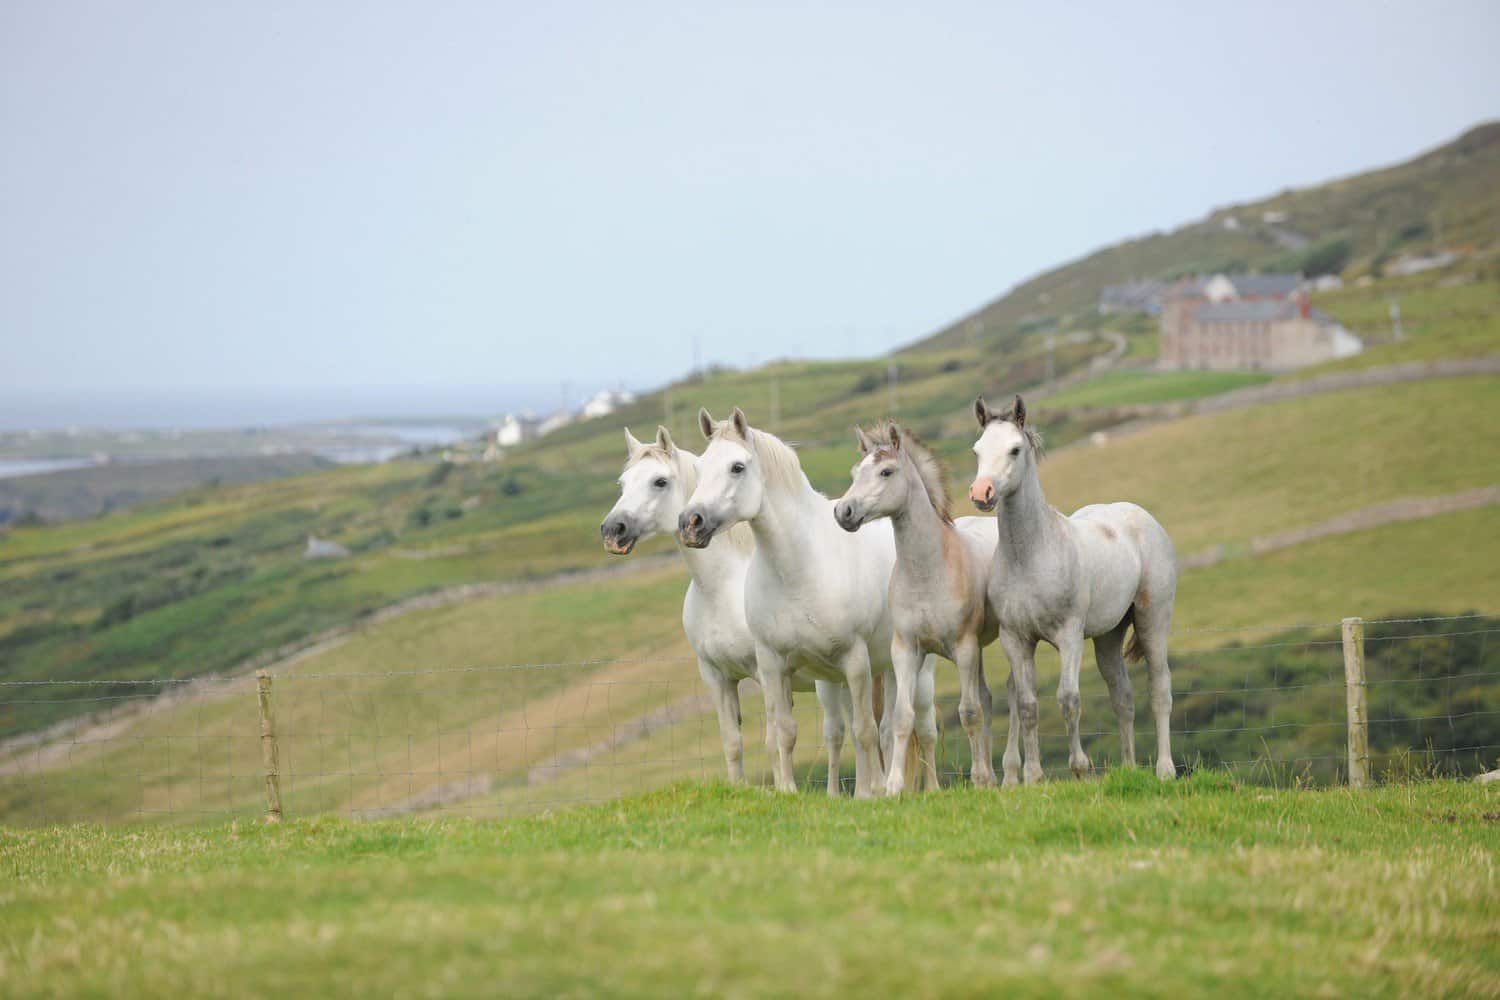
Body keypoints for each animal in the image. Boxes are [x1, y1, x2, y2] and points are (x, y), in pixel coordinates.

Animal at [600, 425, 852, 793]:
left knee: (839, 732)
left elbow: (773, 740)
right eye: (623, 483)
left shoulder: (765, 673)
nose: (612, 530)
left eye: (659, 481)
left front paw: (784, 791)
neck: (721, 589)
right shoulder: (717, 677)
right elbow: (732, 742)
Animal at [678, 407, 930, 798]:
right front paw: (787, 791)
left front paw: (872, 793)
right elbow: (782, 733)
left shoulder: (855, 660)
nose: (691, 522)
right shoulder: (771, 664)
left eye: (737, 467)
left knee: (895, 728)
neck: (799, 568)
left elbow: (865, 731)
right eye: (701, 467)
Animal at [834, 420, 1009, 792]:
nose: (844, 512)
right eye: (856, 471)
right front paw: (893, 786)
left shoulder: (964, 648)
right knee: (986, 699)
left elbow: (968, 712)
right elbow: (902, 717)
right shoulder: (906, 649)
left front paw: (978, 779)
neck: (928, 572)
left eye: (886, 471)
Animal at [968, 395, 1177, 783]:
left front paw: (1080, 769)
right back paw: (1129, 768)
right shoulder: (1016, 639)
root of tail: (1143, 517)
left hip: (1152, 620)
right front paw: (1035, 777)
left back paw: (1165, 770)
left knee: (1160, 689)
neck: (1030, 555)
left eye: (1015, 449)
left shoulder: (1068, 635)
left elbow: (1069, 699)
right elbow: (1027, 705)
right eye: (977, 450)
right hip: (1108, 636)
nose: (981, 493)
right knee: (1122, 696)